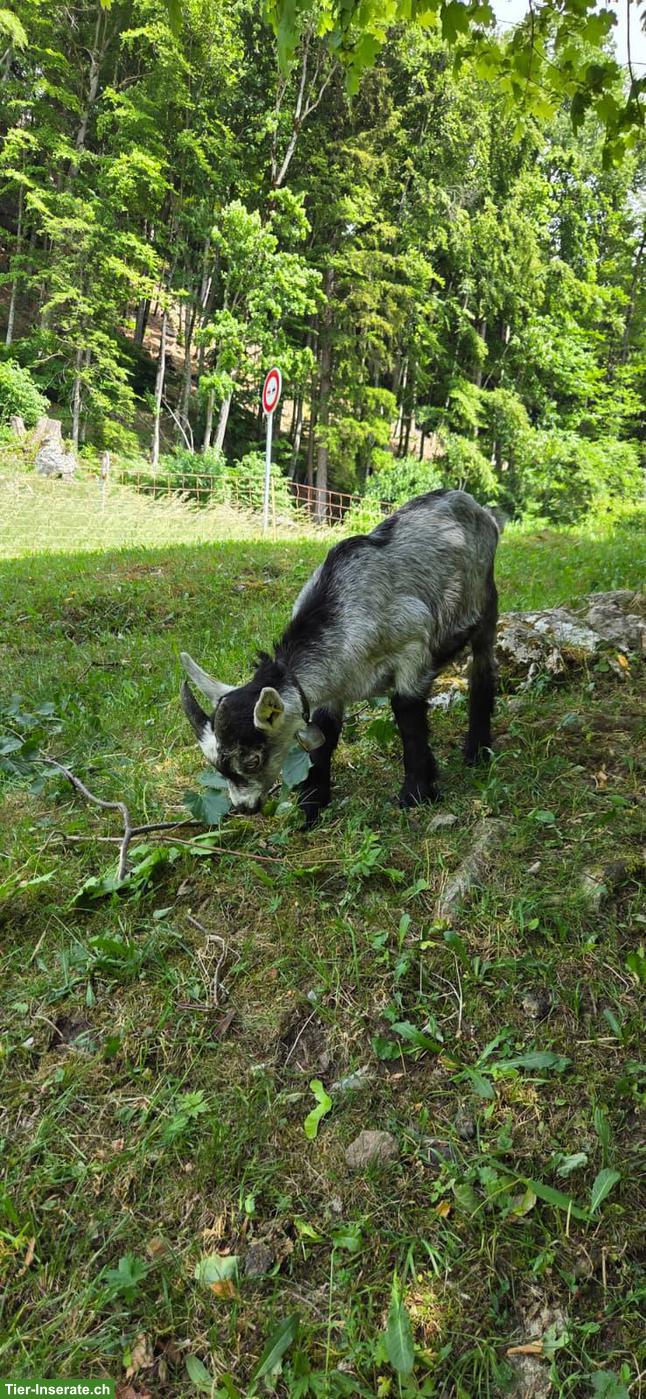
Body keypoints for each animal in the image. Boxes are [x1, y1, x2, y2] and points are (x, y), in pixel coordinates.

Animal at [180, 489, 500, 825]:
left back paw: (477, 750)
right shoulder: (333, 681)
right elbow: (325, 733)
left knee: (483, 669)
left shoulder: (413, 647)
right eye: (217, 766)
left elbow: (408, 715)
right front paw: (311, 805)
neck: (346, 615)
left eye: (253, 760)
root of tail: (473, 504)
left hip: (485, 601)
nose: (245, 807)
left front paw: (415, 792)